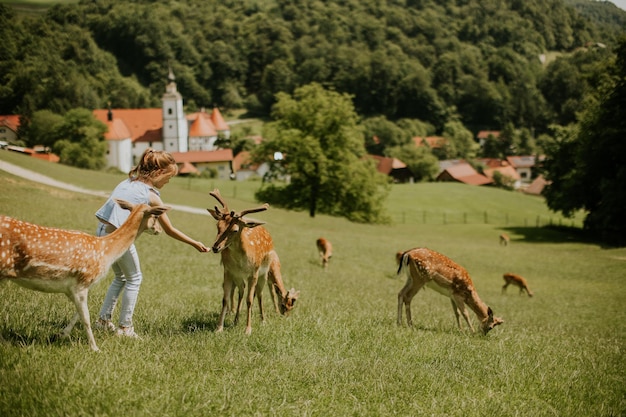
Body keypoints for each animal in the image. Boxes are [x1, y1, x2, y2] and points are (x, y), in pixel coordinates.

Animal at [0, 200, 168, 350]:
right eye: (156, 216)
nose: (159, 230)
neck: (105, 251)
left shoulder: (71, 288)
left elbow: (78, 313)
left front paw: (61, 334)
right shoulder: (82, 281)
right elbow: (86, 317)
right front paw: (95, 348)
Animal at [207, 189, 300, 334]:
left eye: (235, 229)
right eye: (218, 226)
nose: (215, 247)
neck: (241, 261)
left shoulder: (254, 273)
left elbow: (250, 299)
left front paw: (248, 330)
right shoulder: (228, 271)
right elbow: (224, 299)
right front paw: (219, 328)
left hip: (263, 274)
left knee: (260, 294)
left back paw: (263, 321)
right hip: (239, 277)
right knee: (241, 291)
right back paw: (236, 320)